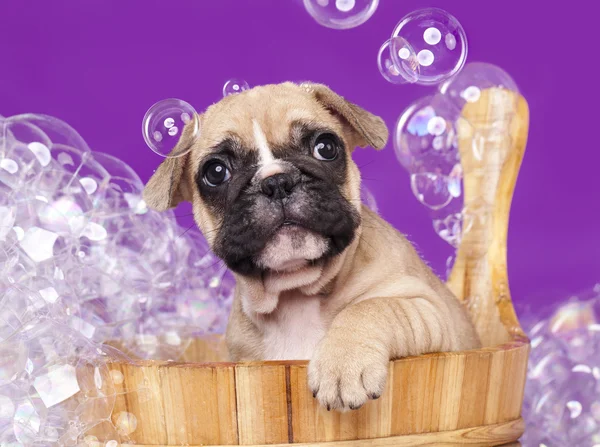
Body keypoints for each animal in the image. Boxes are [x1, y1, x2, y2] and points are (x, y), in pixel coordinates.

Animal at [143, 82, 480, 412]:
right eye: (215, 172)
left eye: (326, 147)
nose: (276, 182)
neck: (295, 291)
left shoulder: (430, 309)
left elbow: (371, 308)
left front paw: (343, 363)